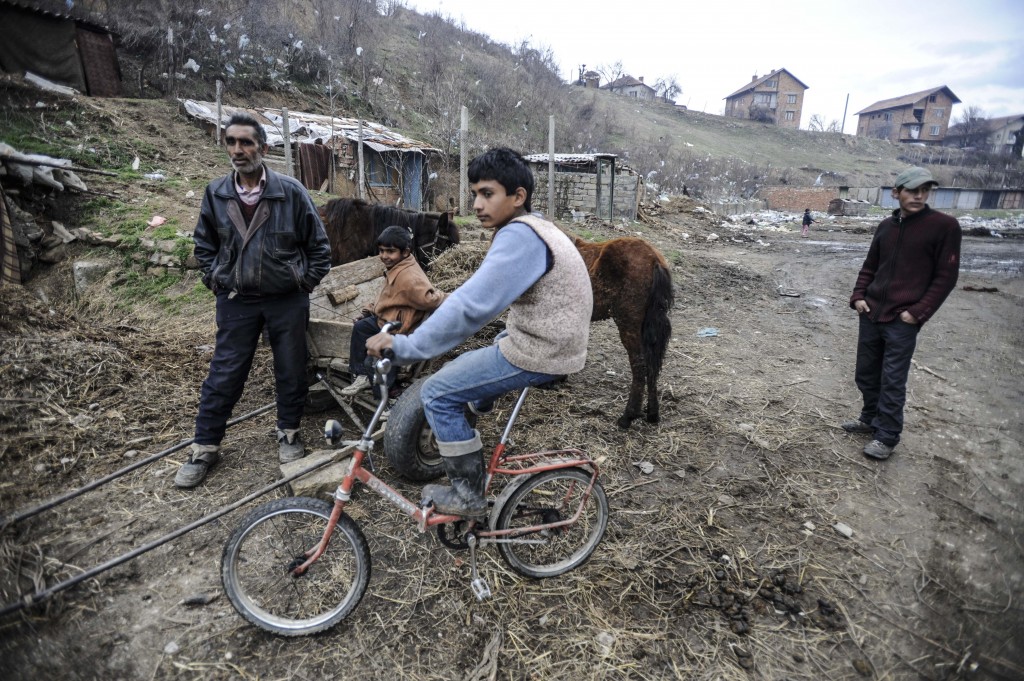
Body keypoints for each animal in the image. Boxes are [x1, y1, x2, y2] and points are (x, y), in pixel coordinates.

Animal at [573, 236, 675, 428]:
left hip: (627, 323)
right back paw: (652, 414)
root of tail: (655, 260)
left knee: (640, 365)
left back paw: (628, 416)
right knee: (652, 365)